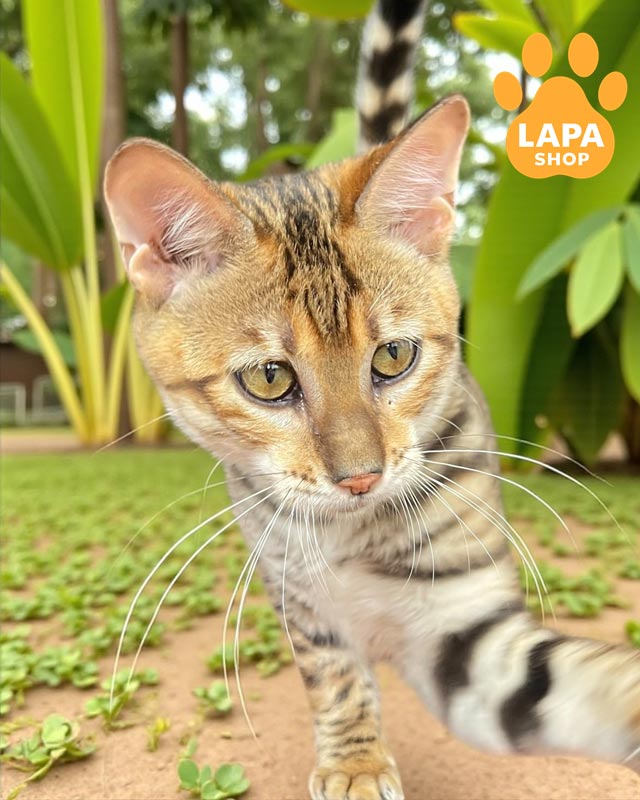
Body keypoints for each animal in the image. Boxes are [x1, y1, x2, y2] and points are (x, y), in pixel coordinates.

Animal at [105, 1, 640, 798]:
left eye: (393, 356)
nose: (360, 477)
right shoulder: (306, 606)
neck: (353, 537)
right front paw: (354, 758)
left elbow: (580, 678)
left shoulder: (466, 629)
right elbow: (334, 676)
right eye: (269, 378)